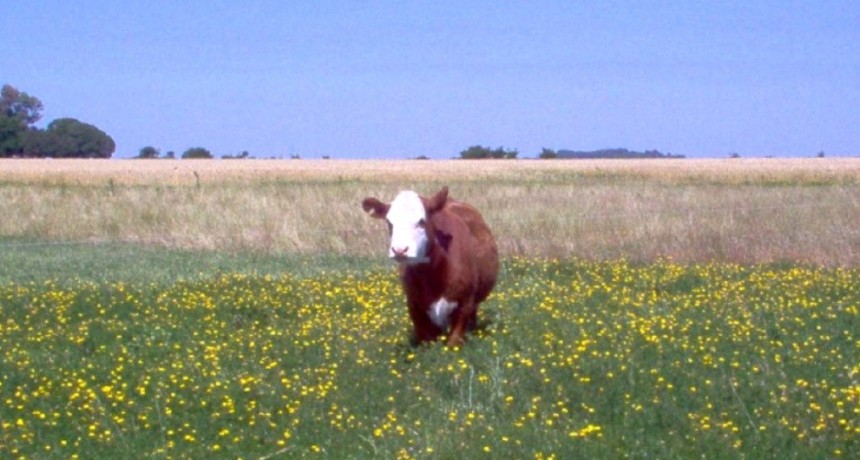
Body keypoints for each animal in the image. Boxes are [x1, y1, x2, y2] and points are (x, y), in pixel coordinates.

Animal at [362, 186, 498, 344]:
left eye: (421, 221)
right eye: (389, 222)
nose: (399, 250)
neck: (431, 274)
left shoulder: (465, 303)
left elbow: (454, 342)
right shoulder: (414, 305)